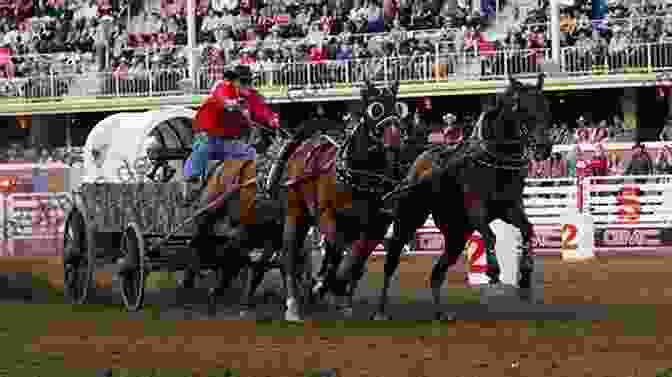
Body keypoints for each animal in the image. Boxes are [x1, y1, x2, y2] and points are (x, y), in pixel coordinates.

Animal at [278, 79, 404, 320]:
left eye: (398, 108)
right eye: (375, 109)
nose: (394, 139)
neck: (359, 176)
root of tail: (309, 143)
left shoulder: (376, 226)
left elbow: (355, 258)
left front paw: (335, 287)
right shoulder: (327, 216)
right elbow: (340, 252)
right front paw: (325, 284)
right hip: (296, 212)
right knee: (290, 254)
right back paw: (293, 304)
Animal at [334, 74, 552, 320]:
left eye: (546, 106)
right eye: (522, 109)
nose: (544, 148)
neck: (493, 160)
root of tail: (415, 166)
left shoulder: (510, 207)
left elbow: (528, 230)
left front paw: (524, 279)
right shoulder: (476, 208)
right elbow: (490, 236)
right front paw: (493, 270)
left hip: (456, 234)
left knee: (437, 273)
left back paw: (440, 312)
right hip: (408, 222)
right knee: (391, 261)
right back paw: (380, 309)